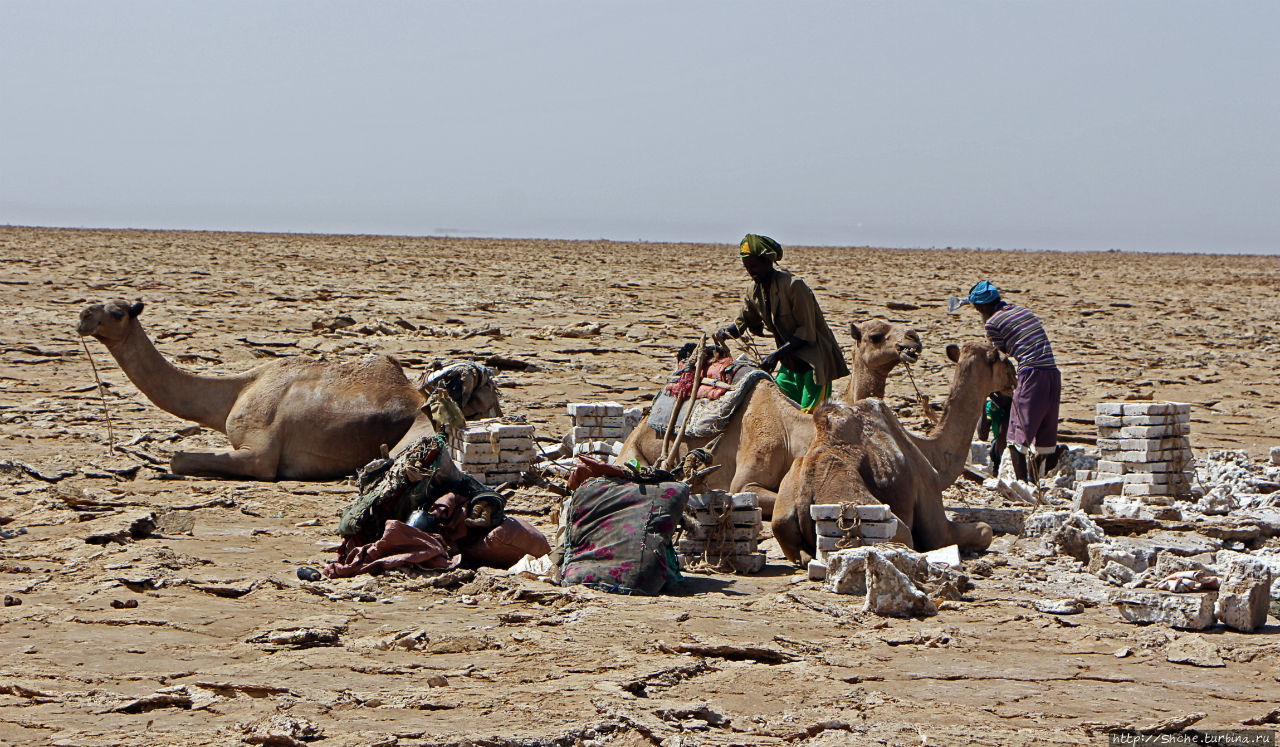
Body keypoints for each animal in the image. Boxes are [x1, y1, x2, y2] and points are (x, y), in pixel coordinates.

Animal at [762, 340, 1013, 562]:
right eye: (1002, 358)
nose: (1014, 378)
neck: (930, 453)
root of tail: (804, 500)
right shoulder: (933, 506)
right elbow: (984, 530)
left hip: (782, 512)